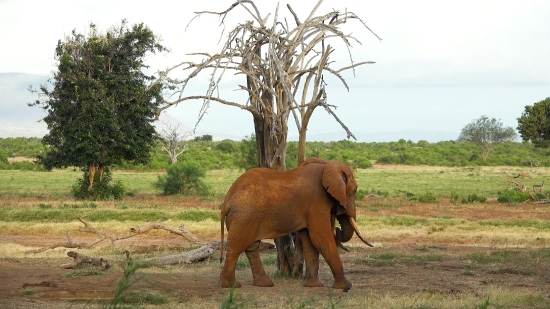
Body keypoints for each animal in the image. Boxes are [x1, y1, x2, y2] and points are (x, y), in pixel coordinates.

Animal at [221, 159, 376, 288]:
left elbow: (310, 241)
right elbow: (320, 238)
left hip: (246, 217)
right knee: (237, 246)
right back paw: (231, 286)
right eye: (354, 191)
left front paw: (313, 286)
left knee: (251, 247)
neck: (327, 165)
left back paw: (264, 284)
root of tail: (227, 199)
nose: (336, 227)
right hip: (244, 215)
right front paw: (345, 286)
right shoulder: (317, 202)